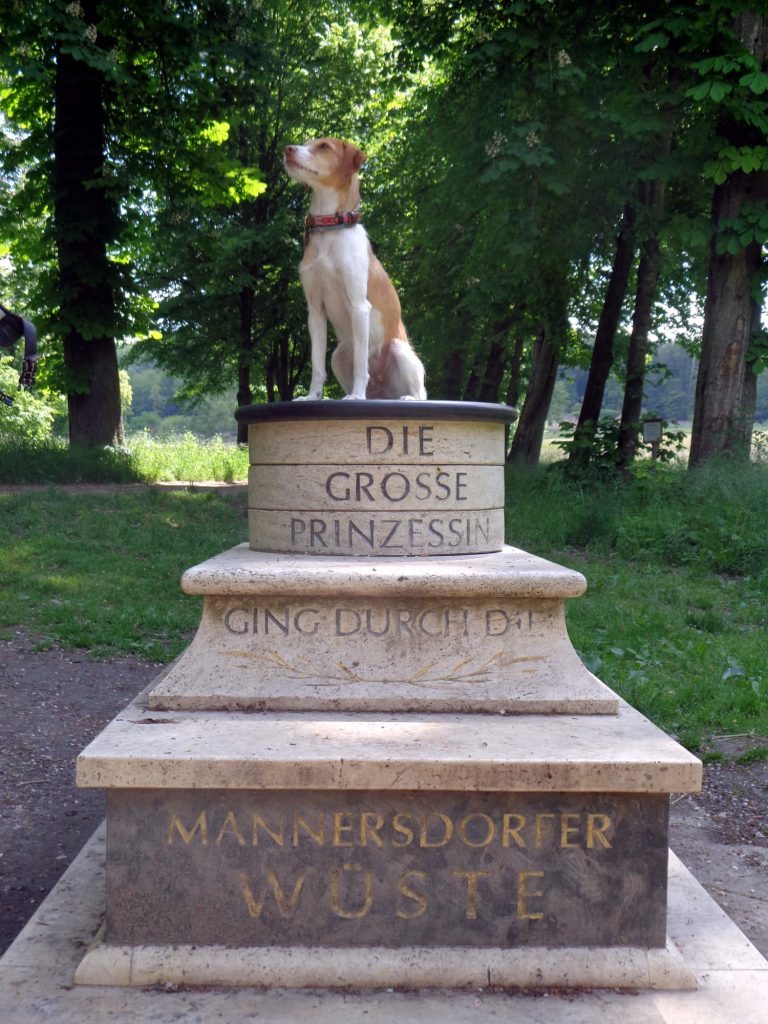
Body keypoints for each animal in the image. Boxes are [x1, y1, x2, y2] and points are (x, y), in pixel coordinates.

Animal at [282, 138, 428, 401]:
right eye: (307, 143)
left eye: (324, 146)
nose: (287, 149)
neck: (330, 230)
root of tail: (382, 391)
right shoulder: (315, 311)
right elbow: (316, 365)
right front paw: (312, 396)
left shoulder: (359, 306)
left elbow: (362, 363)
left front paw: (357, 396)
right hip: (338, 354)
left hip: (399, 349)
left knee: (422, 394)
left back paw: (404, 397)